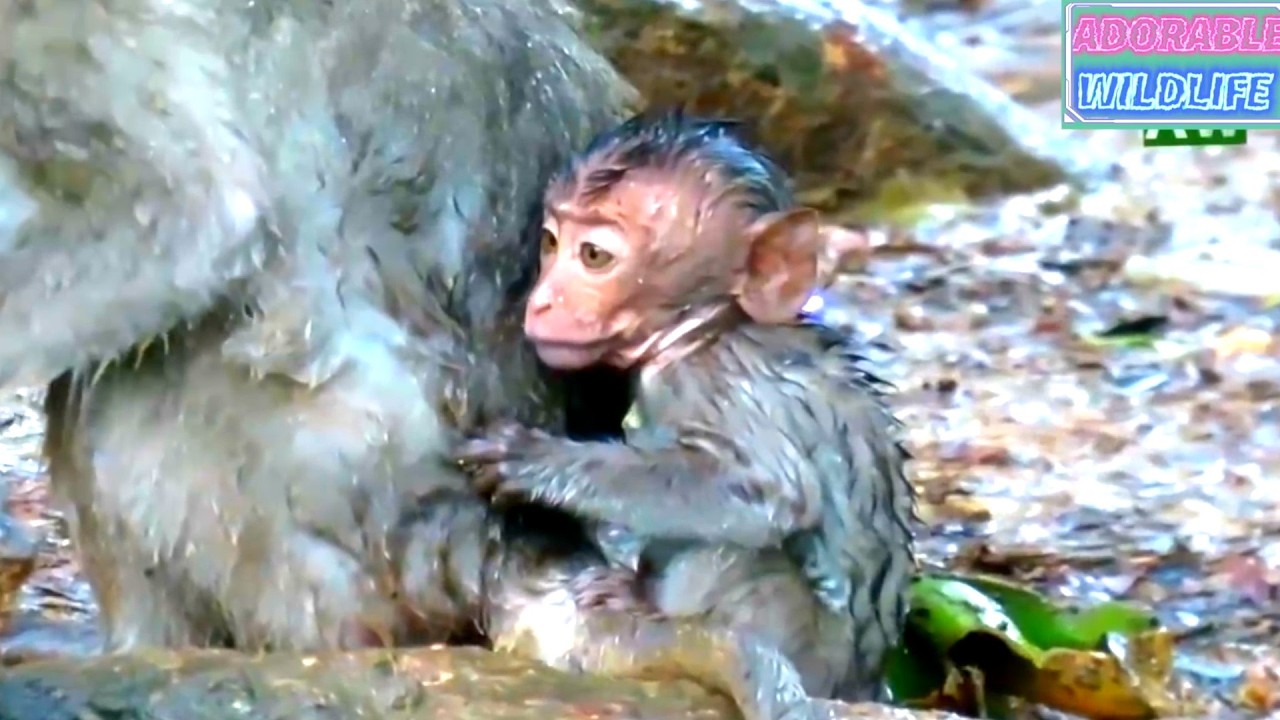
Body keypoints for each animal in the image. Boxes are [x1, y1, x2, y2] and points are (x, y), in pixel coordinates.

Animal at [453, 110, 918, 703]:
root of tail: (861, 679)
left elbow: (766, 491)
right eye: (551, 242)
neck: (707, 329)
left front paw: (539, 463)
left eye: (594, 256)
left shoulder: (714, 383)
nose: (542, 301)